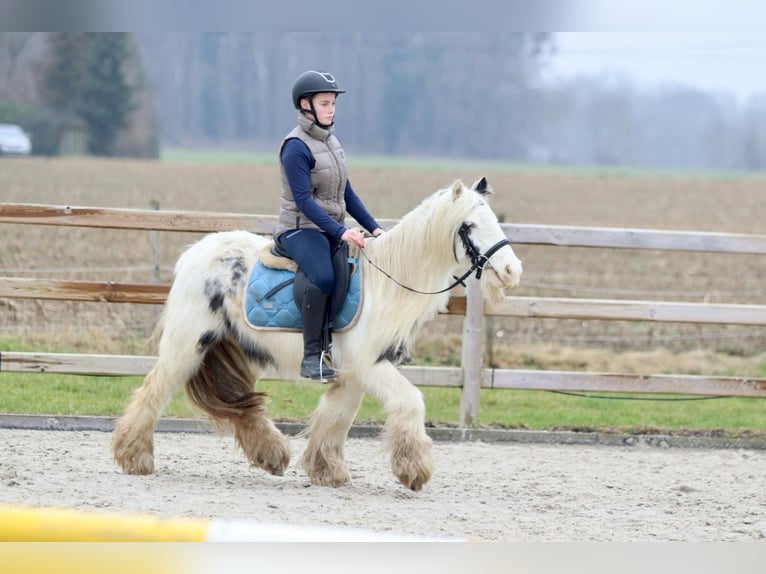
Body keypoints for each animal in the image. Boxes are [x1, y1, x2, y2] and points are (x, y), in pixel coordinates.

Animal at [111, 178, 524, 492]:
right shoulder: (370, 367)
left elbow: (335, 418)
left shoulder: (352, 374)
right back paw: (134, 457)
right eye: (469, 225)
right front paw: (414, 470)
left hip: (236, 348)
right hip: (187, 346)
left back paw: (272, 455)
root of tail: (194, 253)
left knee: (241, 404)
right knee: (153, 391)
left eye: (493, 220)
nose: (511, 271)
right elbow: (410, 402)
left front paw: (327, 470)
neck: (386, 285)